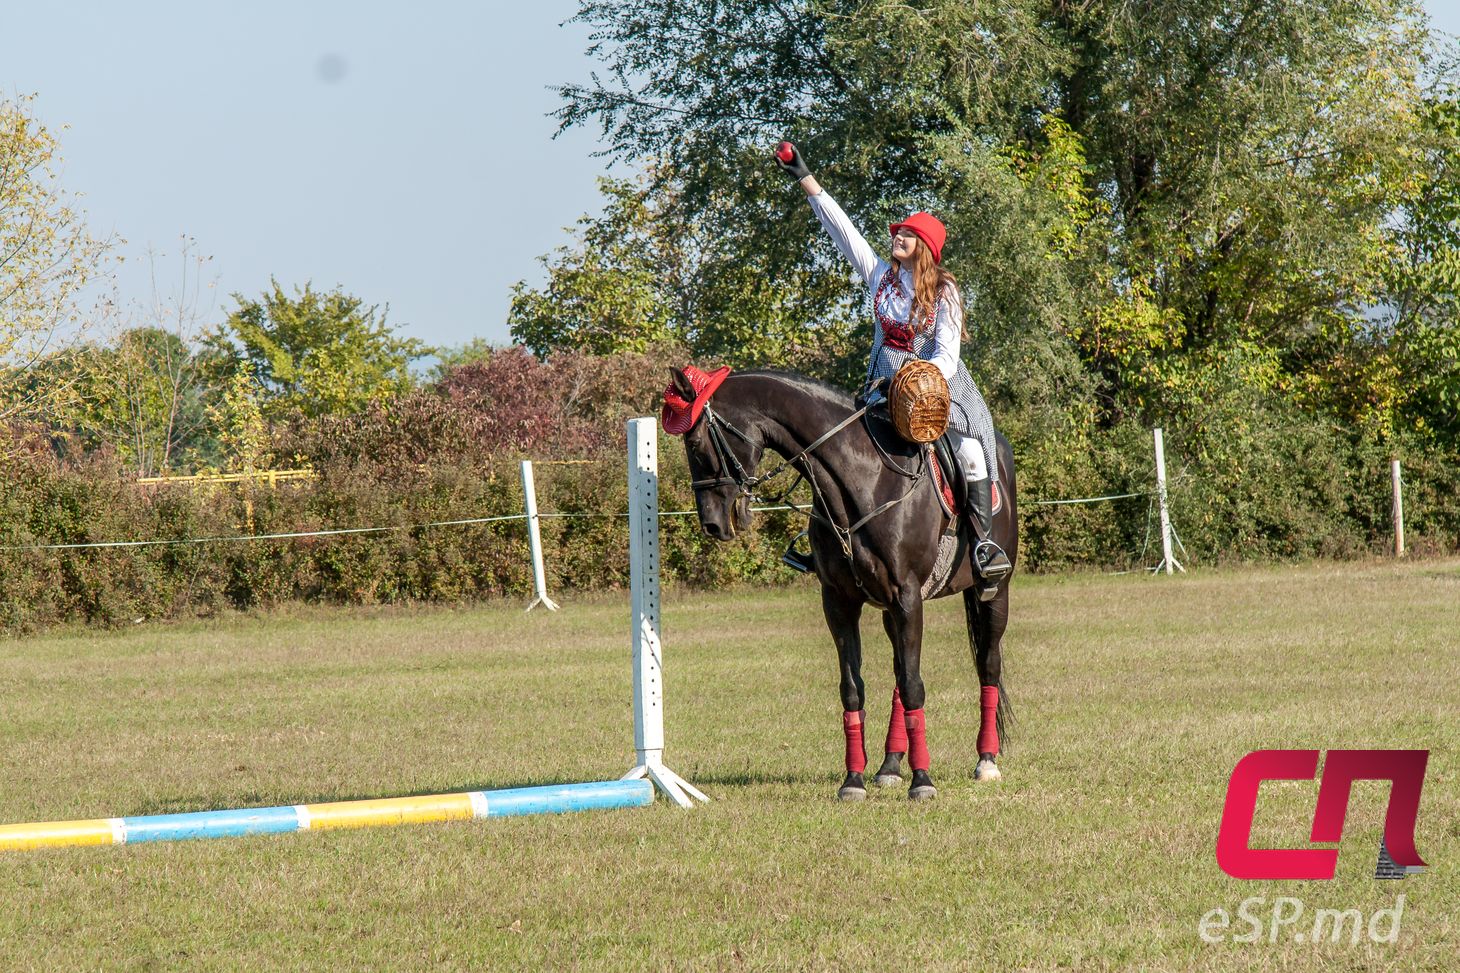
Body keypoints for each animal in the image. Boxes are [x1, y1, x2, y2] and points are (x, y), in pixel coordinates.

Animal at [665, 363, 1016, 794]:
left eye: (697, 445)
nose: (713, 524)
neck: (863, 478)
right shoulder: (840, 601)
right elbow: (854, 689)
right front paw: (854, 780)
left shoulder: (908, 596)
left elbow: (915, 685)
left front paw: (922, 780)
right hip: (889, 609)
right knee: (900, 673)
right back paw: (889, 765)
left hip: (994, 592)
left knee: (988, 663)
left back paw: (986, 760)